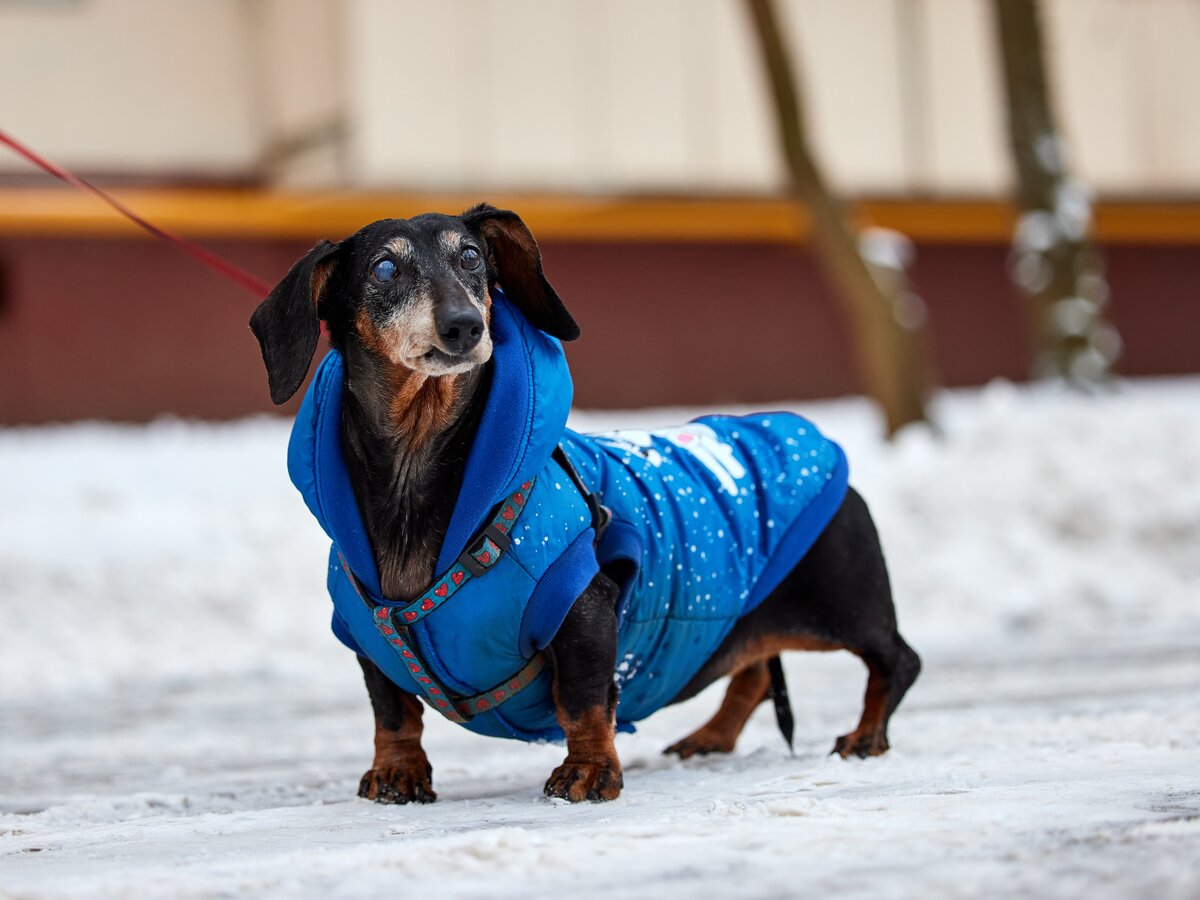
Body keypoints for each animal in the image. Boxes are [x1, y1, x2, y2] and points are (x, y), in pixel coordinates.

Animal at [248, 207, 912, 806]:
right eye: (385, 268)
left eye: (471, 258)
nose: (464, 326)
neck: (417, 466)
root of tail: (818, 443)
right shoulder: (368, 636)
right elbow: (392, 713)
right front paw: (397, 772)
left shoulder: (582, 605)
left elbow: (585, 701)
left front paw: (590, 771)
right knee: (752, 672)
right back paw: (711, 737)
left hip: (845, 608)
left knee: (898, 661)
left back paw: (864, 736)